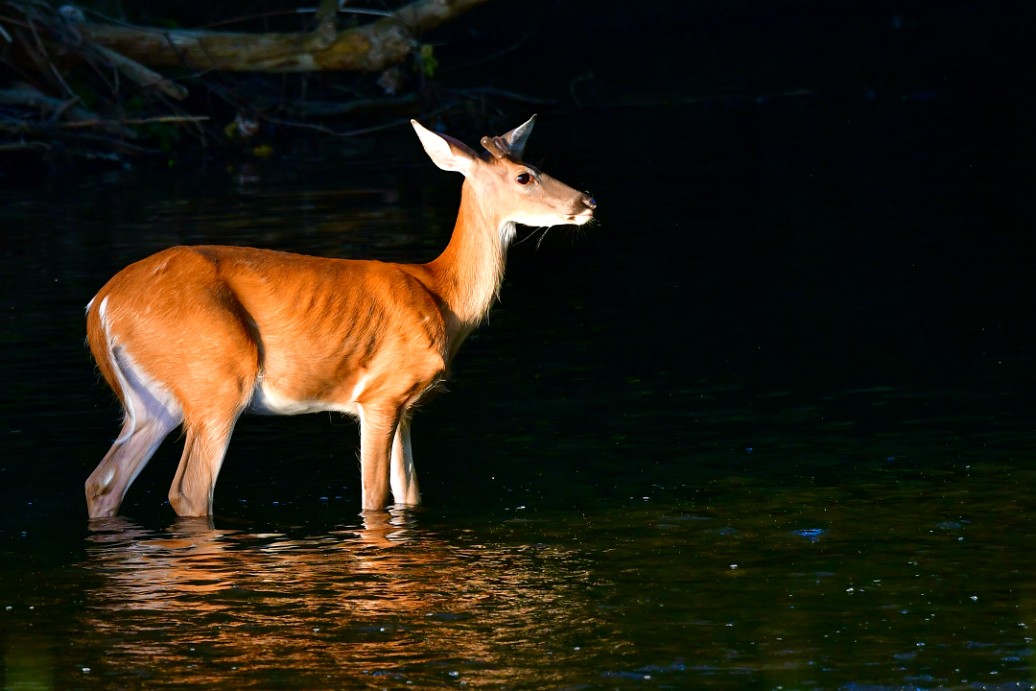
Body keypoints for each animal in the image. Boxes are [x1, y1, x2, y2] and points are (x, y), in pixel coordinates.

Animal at [87, 116, 600, 515]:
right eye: (524, 176)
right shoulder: (380, 394)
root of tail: (102, 304)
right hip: (217, 378)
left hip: (151, 404)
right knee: (189, 492)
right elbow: (373, 499)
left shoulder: (407, 405)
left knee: (102, 483)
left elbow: (409, 496)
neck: (442, 295)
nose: (588, 202)